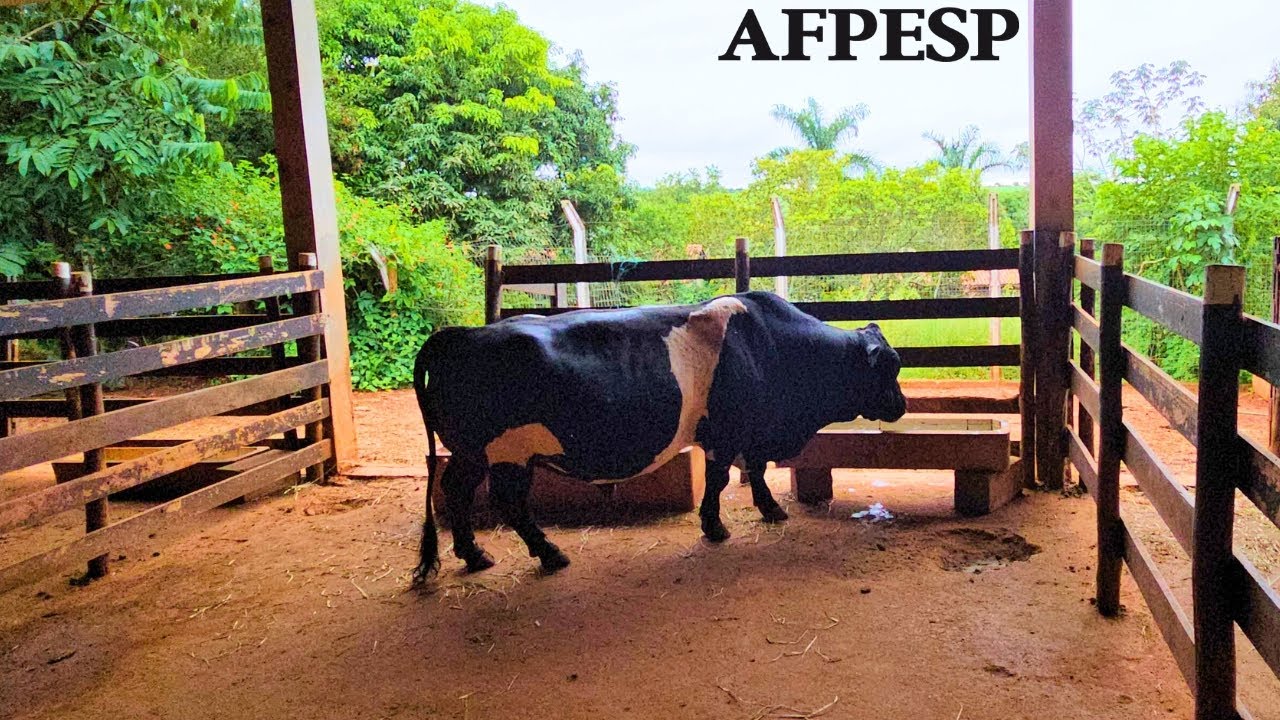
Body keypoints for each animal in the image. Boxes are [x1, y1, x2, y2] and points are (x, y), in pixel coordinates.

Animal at [411, 291, 907, 582]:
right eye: (889, 367)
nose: (901, 405)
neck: (769, 345)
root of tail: (460, 334)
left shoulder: (750, 432)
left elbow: (756, 471)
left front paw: (768, 510)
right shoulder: (728, 431)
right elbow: (720, 480)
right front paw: (716, 527)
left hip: (471, 453)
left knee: (456, 489)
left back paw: (474, 554)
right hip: (508, 453)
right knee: (509, 502)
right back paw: (549, 554)